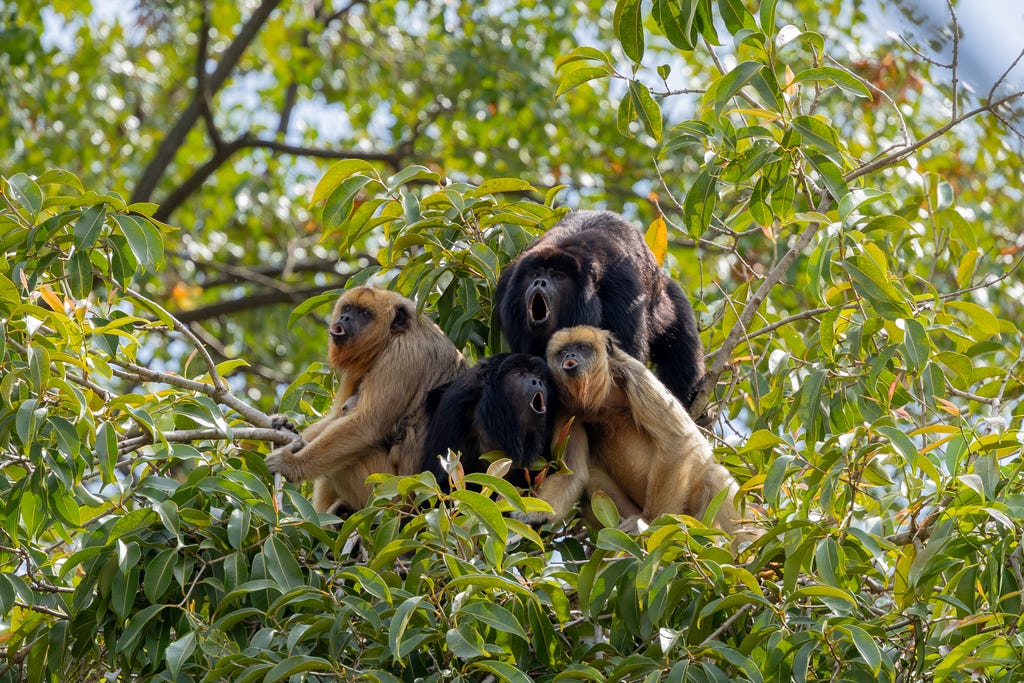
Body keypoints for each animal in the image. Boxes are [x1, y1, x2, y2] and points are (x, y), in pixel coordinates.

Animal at [265, 286, 466, 514]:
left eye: (364, 314)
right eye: (348, 308)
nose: (344, 317)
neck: (390, 337)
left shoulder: (403, 355)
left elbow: (368, 423)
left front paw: (292, 464)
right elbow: (334, 417)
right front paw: (284, 429)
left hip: (394, 489)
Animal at [494, 210, 704, 409]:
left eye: (558, 276)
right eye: (535, 274)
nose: (540, 281)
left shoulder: (622, 290)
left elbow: (627, 355)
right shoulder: (508, 283)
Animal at [545, 325, 741, 534]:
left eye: (583, 348)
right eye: (562, 352)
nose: (570, 355)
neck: (601, 397)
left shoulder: (635, 374)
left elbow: (677, 438)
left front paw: (649, 522)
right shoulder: (564, 409)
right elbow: (572, 473)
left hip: (697, 518)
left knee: (715, 476)